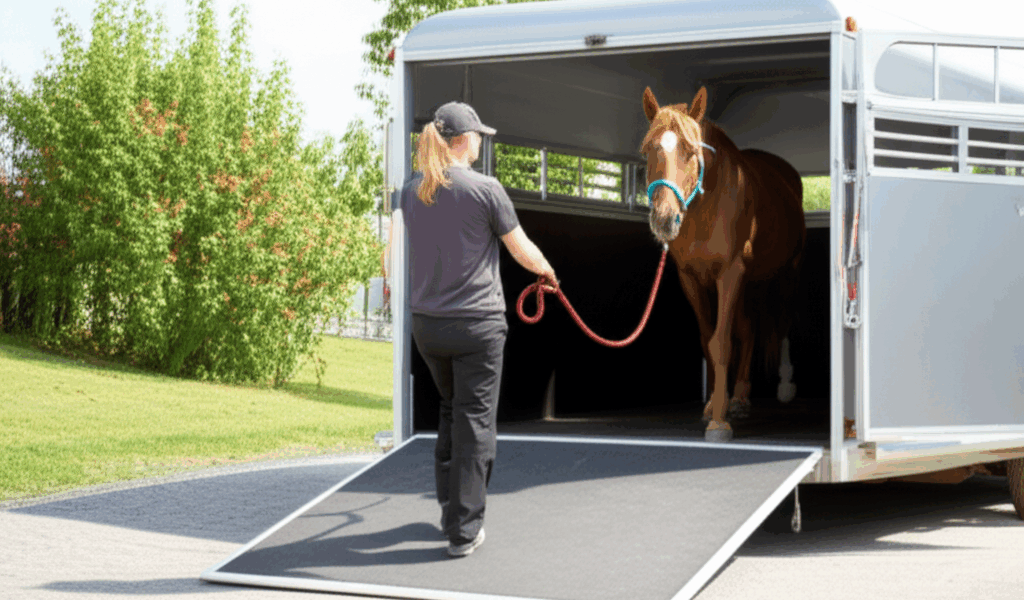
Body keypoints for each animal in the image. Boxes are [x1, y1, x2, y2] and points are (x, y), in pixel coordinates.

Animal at [640, 86, 806, 442]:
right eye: (648, 149)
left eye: (691, 150)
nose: (664, 219)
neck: (707, 207)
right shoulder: (691, 277)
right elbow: (709, 340)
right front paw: (715, 407)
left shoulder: (730, 273)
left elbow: (722, 342)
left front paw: (719, 423)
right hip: (749, 282)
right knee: (750, 329)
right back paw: (740, 398)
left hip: (785, 275)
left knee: (782, 322)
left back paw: (783, 386)